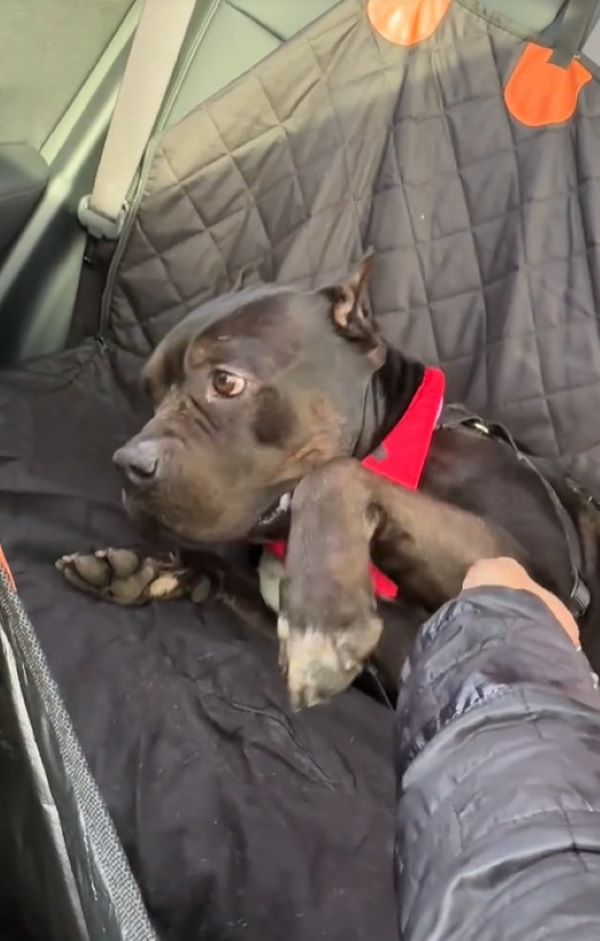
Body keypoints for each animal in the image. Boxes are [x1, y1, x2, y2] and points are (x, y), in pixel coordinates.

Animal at [57, 258, 600, 704]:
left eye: (226, 382)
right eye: (149, 390)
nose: (128, 463)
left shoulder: (529, 577)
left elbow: (334, 474)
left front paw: (324, 604)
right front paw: (149, 570)